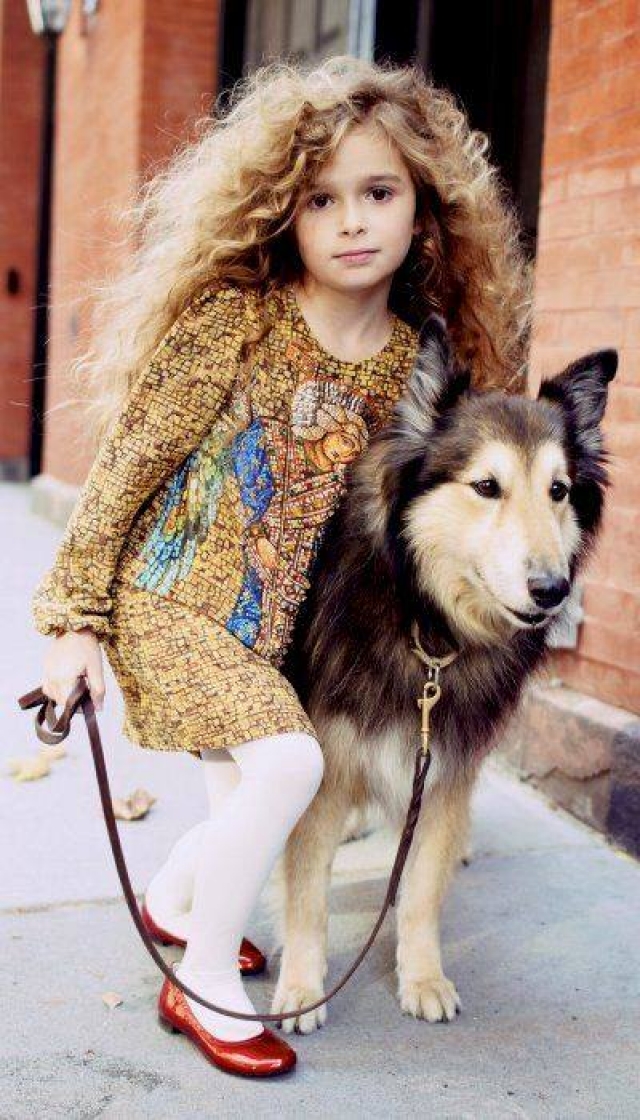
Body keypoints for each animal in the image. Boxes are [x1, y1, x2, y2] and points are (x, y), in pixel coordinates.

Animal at [269, 313, 618, 1033]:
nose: (552, 591)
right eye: (486, 487)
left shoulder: (446, 762)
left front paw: (423, 978)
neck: (429, 628)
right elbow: (305, 890)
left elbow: (422, 889)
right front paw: (301, 987)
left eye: (558, 491)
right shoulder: (329, 758)